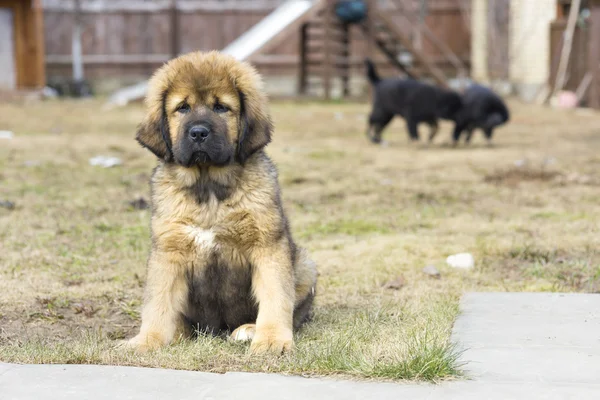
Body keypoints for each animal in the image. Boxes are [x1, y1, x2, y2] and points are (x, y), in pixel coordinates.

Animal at [124, 50, 316, 354]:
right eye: (182, 108)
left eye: (221, 108)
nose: (199, 133)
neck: (209, 189)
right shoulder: (168, 251)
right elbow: (158, 303)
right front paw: (147, 340)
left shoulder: (268, 245)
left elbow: (275, 296)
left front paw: (271, 339)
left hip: (306, 265)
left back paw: (248, 329)